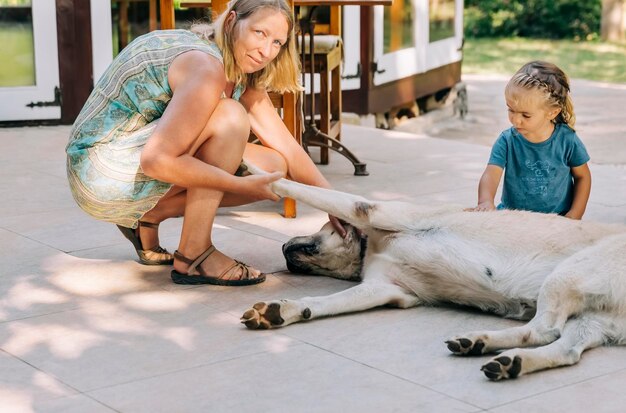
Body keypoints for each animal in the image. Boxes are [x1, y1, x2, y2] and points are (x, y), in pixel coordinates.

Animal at [239, 162, 624, 380]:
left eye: (318, 231)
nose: (282, 250)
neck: (370, 246)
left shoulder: (371, 209)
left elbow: (293, 185)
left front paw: (251, 169)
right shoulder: (385, 289)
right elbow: (321, 304)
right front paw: (283, 310)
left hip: (566, 276)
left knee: (545, 329)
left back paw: (487, 346)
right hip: (591, 320)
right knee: (565, 350)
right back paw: (496, 353)